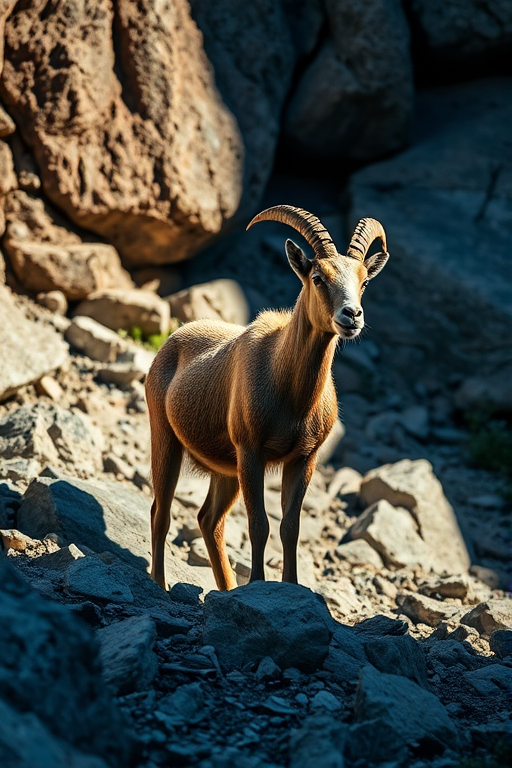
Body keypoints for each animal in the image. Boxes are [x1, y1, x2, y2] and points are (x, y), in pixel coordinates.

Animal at [146, 206, 389, 590]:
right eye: (318, 277)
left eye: (364, 281)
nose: (352, 315)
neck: (291, 395)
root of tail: (173, 339)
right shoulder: (251, 452)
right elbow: (259, 524)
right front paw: (258, 583)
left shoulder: (304, 459)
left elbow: (290, 527)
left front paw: (290, 585)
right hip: (166, 437)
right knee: (162, 510)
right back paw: (160, 583)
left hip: (225, 469)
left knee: (208, 519)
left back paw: (227, 586)